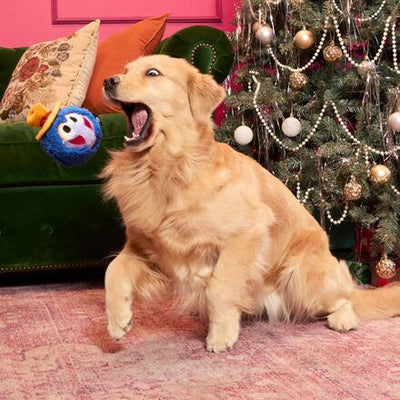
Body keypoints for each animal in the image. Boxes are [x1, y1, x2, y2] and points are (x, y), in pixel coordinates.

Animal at [101, 54, 400, 352]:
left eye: (152, 73)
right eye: (126, 70)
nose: (108, 81)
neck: (168, 167)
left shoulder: (246, 233)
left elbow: (220, 287)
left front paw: (221, 335)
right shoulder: (148, 247)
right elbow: (112, 271)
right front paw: (117, 321)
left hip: (298, 274)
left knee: (345, 297)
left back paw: (343, 318)